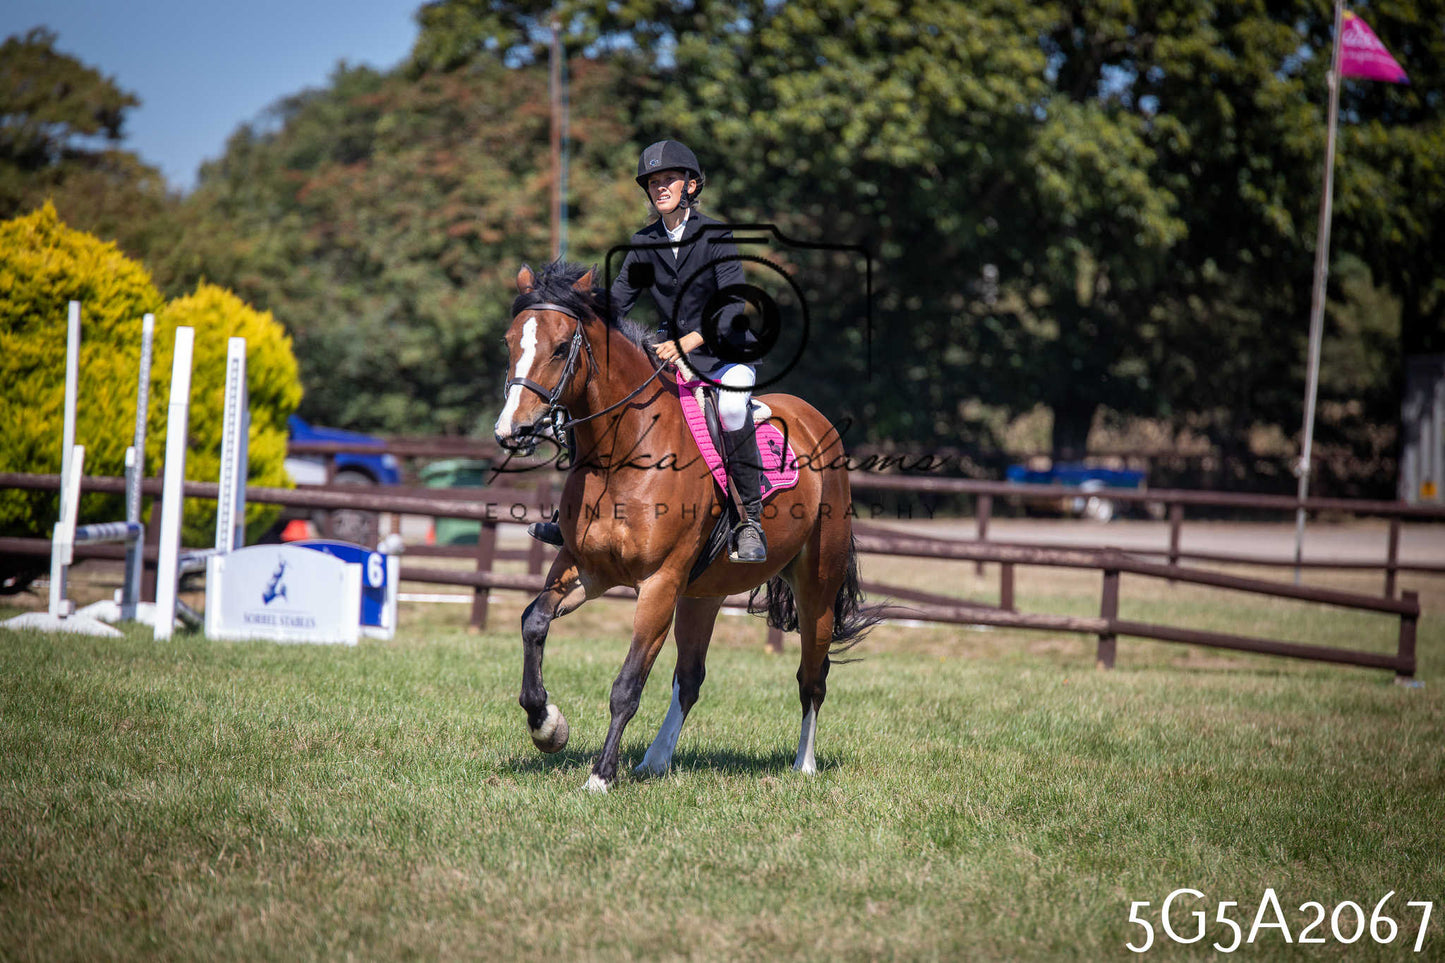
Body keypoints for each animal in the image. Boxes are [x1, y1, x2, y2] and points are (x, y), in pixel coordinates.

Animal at [493, 261, 882, 792]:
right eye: (510, 342)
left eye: (558, 347)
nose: (513, 431)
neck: (623, 454)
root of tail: (815, 420)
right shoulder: (585, 569)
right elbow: (533, 621)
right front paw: (547, 726)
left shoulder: (658, 583)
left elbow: (627, 684)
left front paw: (600, 777)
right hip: (704, 593)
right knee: (691, 677)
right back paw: (656, 761)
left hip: (816, 587)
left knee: (812, 677)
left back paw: (804, 765)